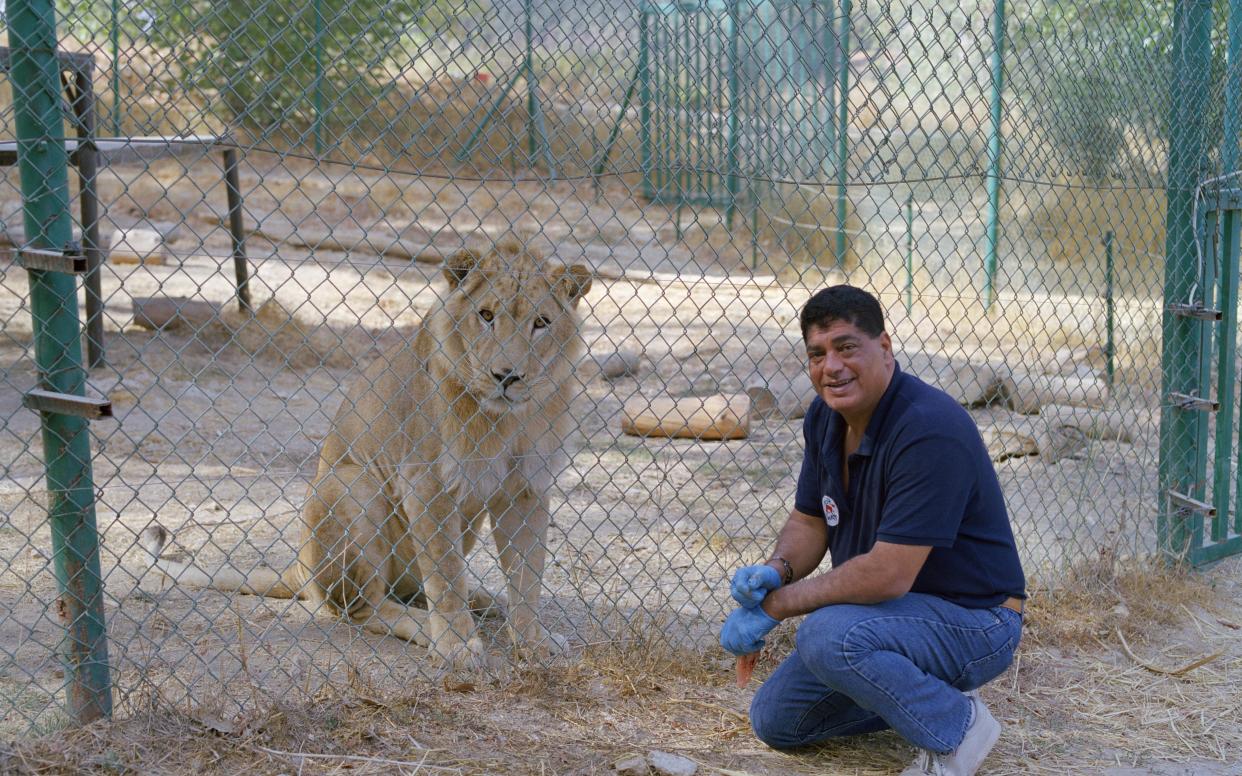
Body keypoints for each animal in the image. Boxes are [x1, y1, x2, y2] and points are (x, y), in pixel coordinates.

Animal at [145, 239, 591, 660]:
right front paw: (457, 646)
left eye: (541, 323)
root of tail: (300, 568)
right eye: (485, 316)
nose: (507, 376)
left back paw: (485, 599)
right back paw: (428, 627)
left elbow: (527, 574)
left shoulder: (527, 486)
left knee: (416, 589)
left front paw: (533, 641)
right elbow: (446, 574)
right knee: (365, 607)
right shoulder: (425, 482)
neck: (505, 420)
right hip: (354, 483)